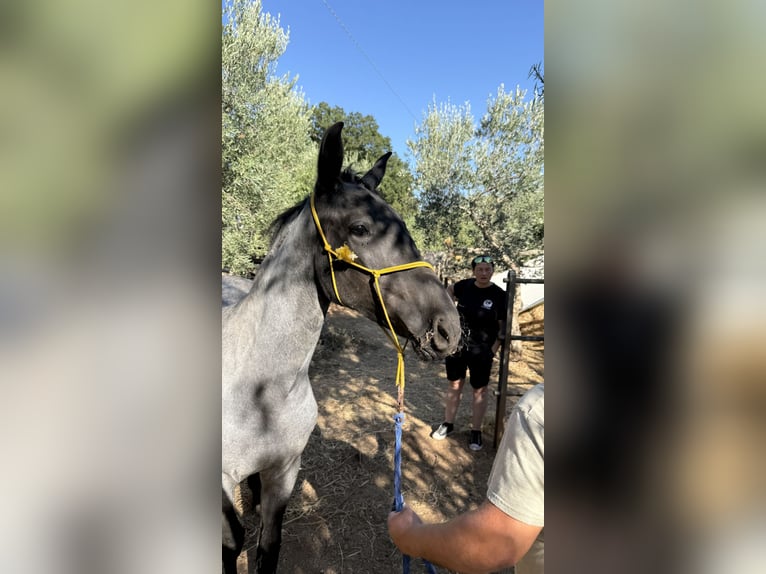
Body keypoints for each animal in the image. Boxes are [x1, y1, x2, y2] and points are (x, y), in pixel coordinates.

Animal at [221, 122, 462, 573]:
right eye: (360, 228)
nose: (449, 330)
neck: (259, 390)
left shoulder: (285, 473)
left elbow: (268, 544)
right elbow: (231, 545)